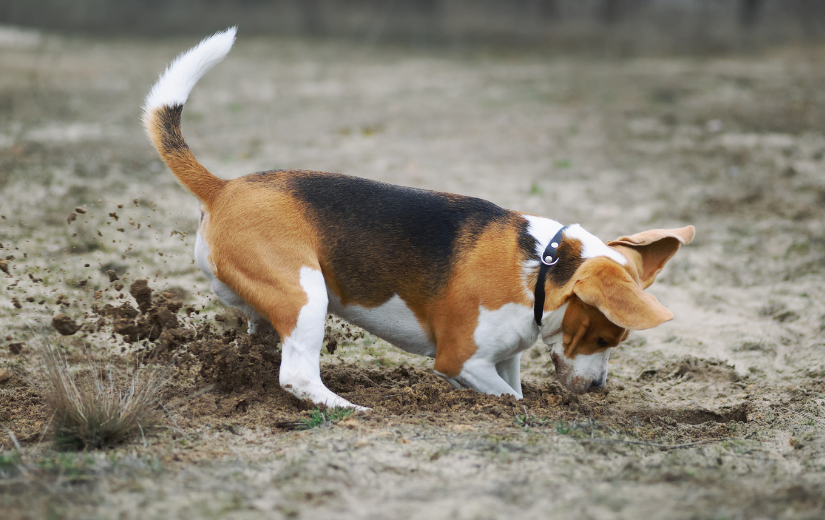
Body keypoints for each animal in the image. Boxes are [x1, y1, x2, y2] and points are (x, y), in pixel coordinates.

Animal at [140, 27, 688, 410]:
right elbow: (509, 397)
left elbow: (515, 385)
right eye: (604, 337)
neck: (543, 265)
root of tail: (225, 186)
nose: (596, 389)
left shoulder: (505, 354)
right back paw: (348, 408)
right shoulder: (461, 359)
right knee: (297, 375)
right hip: (306, 293)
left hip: (266, 299)